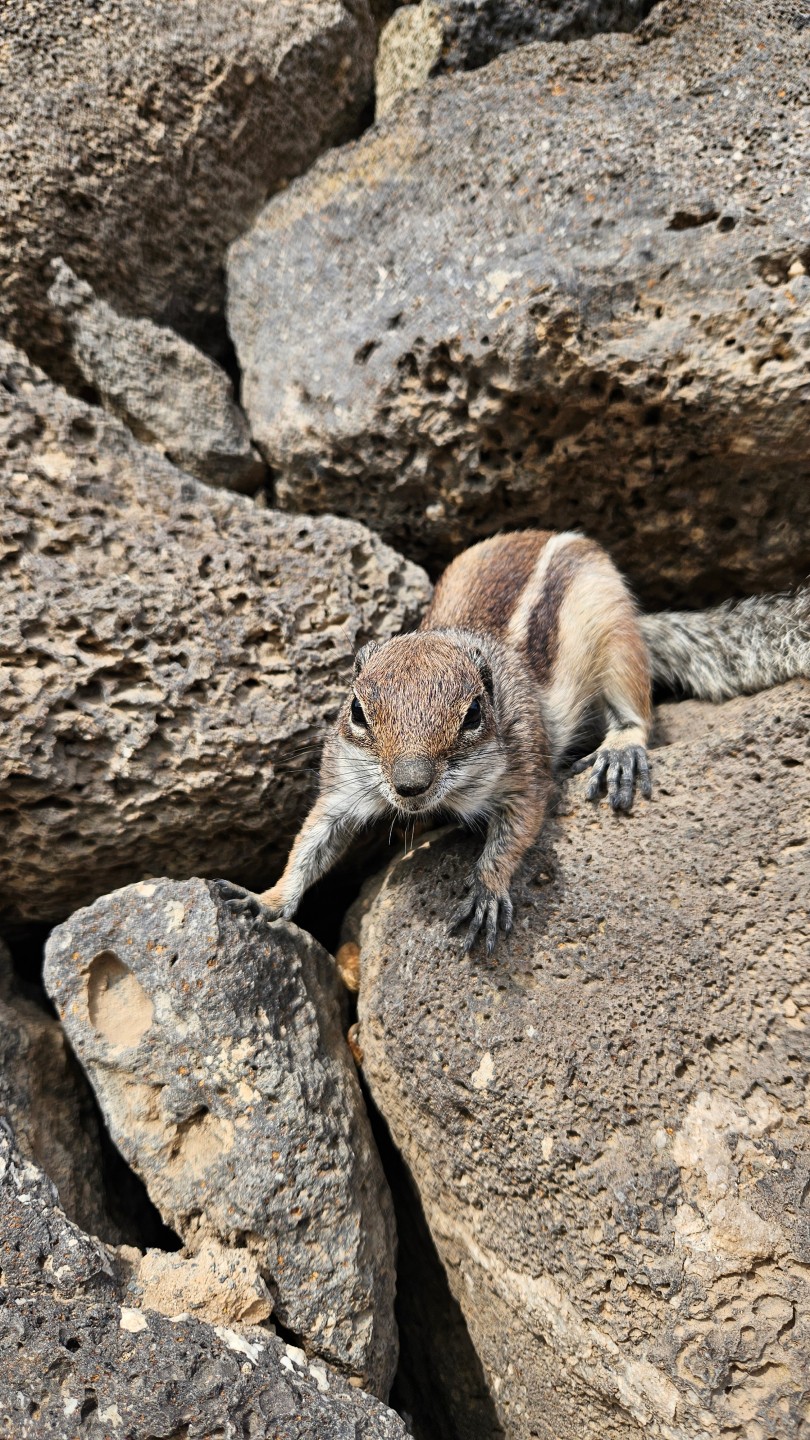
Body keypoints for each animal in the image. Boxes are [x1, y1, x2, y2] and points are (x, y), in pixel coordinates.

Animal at [217, 530, 809, 954]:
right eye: (358, 711)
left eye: (474, 714)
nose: (410, 785)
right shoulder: (344, 785)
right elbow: (313, 843)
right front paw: (267, 899)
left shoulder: (526, 773)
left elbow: (516, 831)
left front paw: (487, 889)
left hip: (618, 639)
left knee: (635, 709)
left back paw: (620, 750)